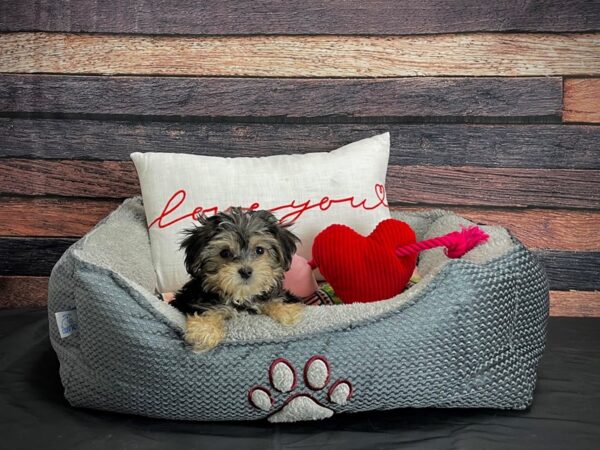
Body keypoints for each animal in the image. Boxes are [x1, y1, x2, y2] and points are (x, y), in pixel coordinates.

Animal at [171, 207, 308, 352]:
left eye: (260, 250)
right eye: (224, 253)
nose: (246, 271)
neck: (242, 296)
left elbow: (272, 300)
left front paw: (285, 311)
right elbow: (208, 310)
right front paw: (205, 331)